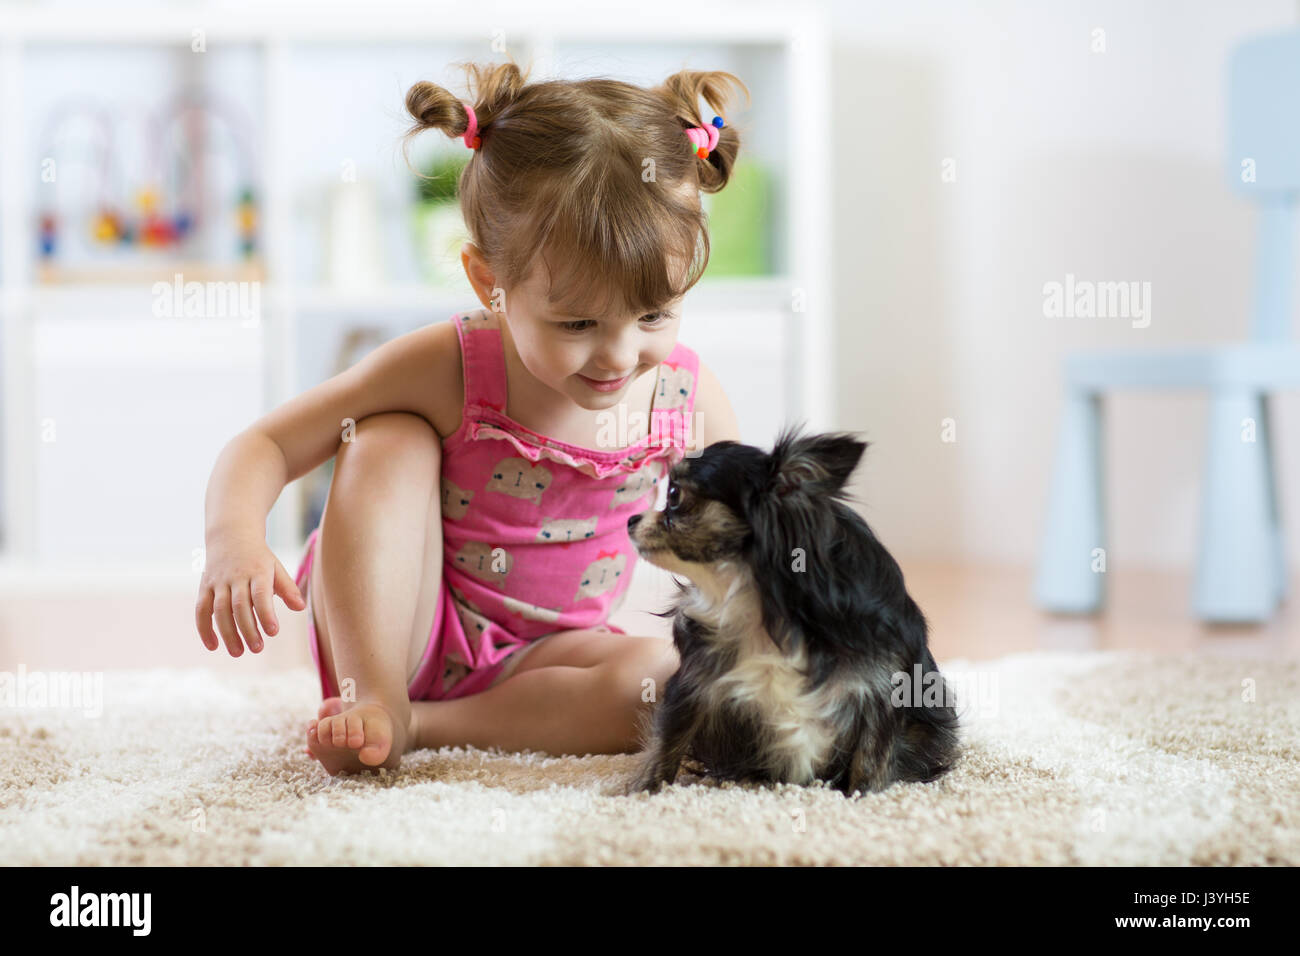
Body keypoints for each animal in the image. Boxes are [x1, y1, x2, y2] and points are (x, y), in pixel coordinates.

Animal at [624, 421, 961, 796]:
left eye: (673, 495)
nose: (631, 519)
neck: (764, 601)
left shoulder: (882, 693)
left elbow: (871, 759)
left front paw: (862, 797)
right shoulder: (693, 682)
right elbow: (668, 741)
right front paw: (644, 791)